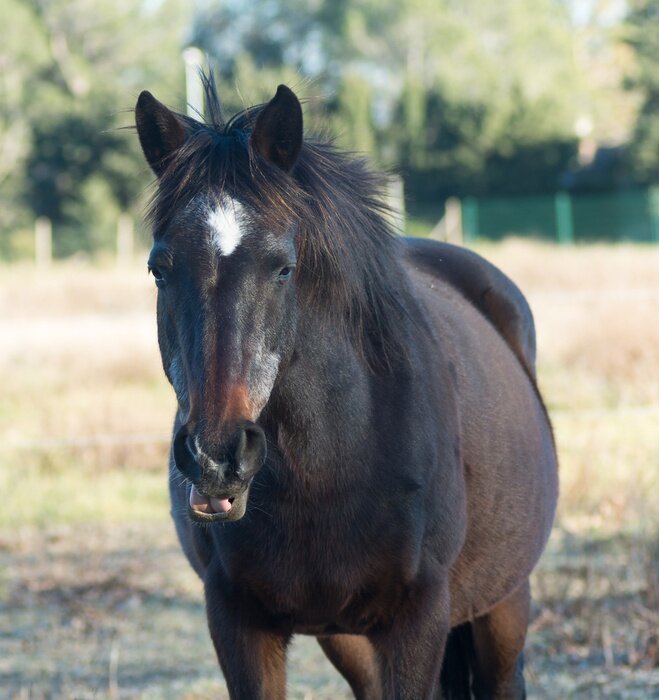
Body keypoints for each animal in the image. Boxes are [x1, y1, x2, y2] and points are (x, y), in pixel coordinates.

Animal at [134, 74, 558, 699]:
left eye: (283, 267)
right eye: (160, 268)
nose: (216, 457)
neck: (333, 466)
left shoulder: (418, 621)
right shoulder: (238, 623)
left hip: (504, 605)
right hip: (347, 637)